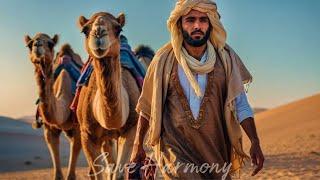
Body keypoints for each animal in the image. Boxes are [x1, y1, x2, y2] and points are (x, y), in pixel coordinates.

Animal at [24, 33, 83, 179]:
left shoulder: (78, 128)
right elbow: (57, 175)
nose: (37, 45)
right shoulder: (49, 128)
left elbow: (71, 175)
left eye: (50, 44)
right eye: (29, 44)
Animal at [76, 11, 141, 179]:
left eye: (119, 29)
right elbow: (100, 172)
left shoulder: (131, 130)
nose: (99, 33)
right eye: (84, 30)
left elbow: (118, 174)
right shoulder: (86, 135)